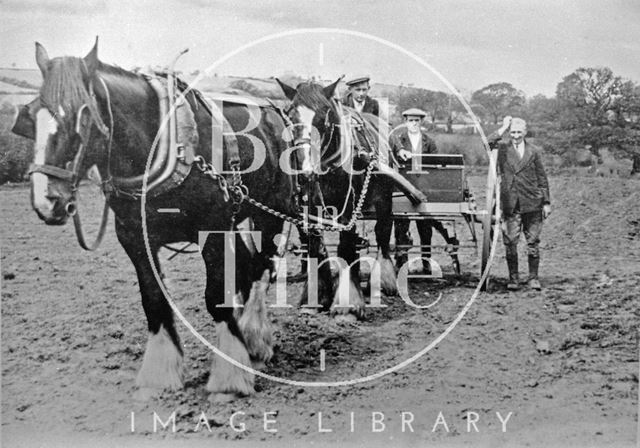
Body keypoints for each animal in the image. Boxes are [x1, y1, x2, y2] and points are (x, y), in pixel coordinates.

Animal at [11, 40, 302, 400]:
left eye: (82, 118)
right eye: (30, 116)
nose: (46, 200)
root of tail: (276, 113)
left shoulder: (212, 231)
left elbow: (215, 296)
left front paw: (229, 378)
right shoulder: (135, 238)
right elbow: (154, 299)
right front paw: (160, 375)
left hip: (270, 211)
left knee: (262, 268)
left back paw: (255, 340)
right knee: (248, 267)